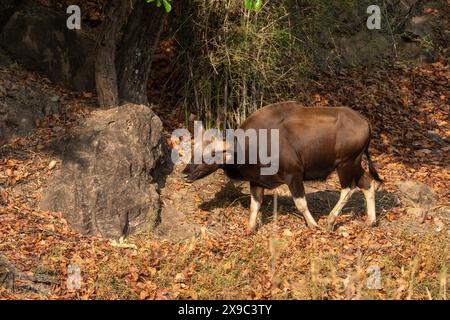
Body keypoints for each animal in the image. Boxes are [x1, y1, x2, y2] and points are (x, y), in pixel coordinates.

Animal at [181, 101, 382, 234]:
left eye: (212, 153)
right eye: (194, 151)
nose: (184, 174)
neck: (252, 146)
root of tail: (365, 122)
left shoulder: (294, 175)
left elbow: (301, 203)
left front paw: (313, 225)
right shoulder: (256, 180)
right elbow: (255, 205)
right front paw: (250, 228)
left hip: (346, 163)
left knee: (348, 188)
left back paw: (330, 221)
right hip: (355, 163)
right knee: (367, 182)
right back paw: (371, 220)